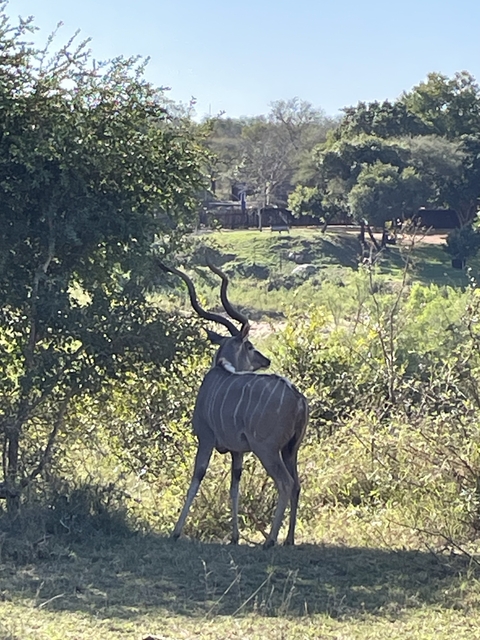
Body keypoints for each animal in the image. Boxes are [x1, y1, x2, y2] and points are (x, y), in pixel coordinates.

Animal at [161, 262, 308, 548]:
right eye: (250, 346)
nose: (265, 360)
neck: (220, 371)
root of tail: (297, 397)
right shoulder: (237, 451)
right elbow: (234, 485)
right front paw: (235, 536)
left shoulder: (206, 439)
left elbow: (197, 476)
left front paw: (175, 530)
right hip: (290, 450)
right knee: (296, 484)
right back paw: (288, 539)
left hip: (267, 450)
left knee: (285, 483)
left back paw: (270, 540)